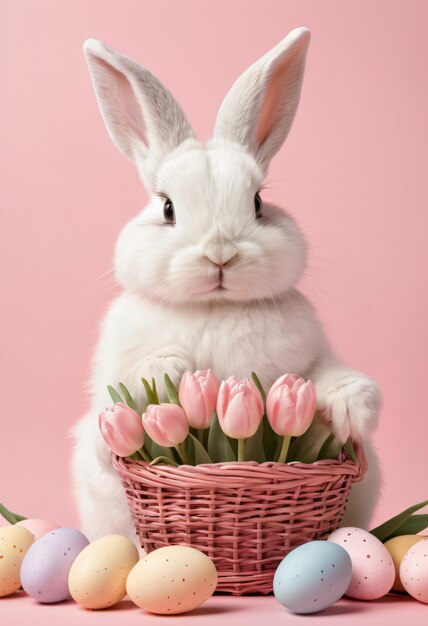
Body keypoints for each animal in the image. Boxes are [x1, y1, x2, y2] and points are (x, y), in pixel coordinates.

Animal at [72, 28, 382, 540]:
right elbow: (126, 385)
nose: (221, 254)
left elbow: (326, 373)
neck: (214, 309)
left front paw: (350, 407)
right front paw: (171, 366)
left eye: (258, 203)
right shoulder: (110, 378)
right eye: (167, 208)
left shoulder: (312, 354)